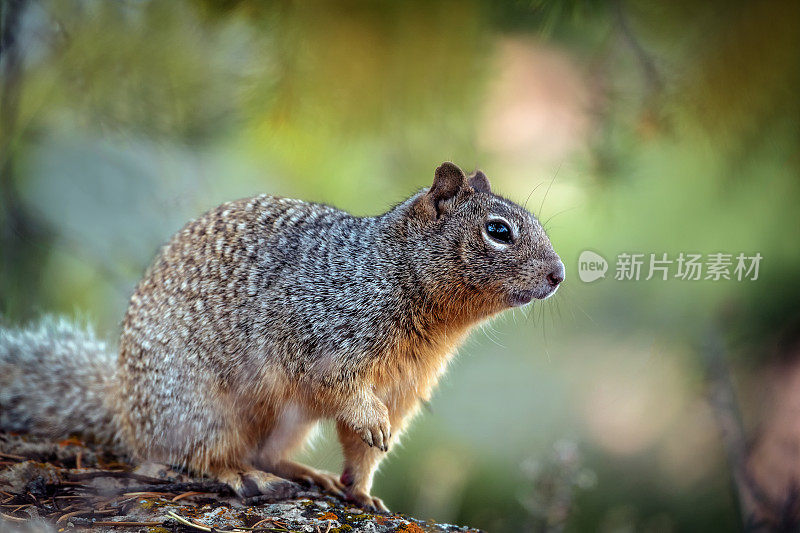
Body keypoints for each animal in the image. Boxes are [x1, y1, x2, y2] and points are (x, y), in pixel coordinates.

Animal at [0, 162, 564, 512]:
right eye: (499, 231)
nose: (559, 274)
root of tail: (124, 408)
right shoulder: (320, 335)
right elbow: (346, 395)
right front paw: (371, 426)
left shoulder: (403, 387)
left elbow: (362, 448)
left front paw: (361, 489)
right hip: (196, 406)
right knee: (201, 456)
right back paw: (240, 476)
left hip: (287, 421)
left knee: (264, 452)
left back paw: (306, 474)